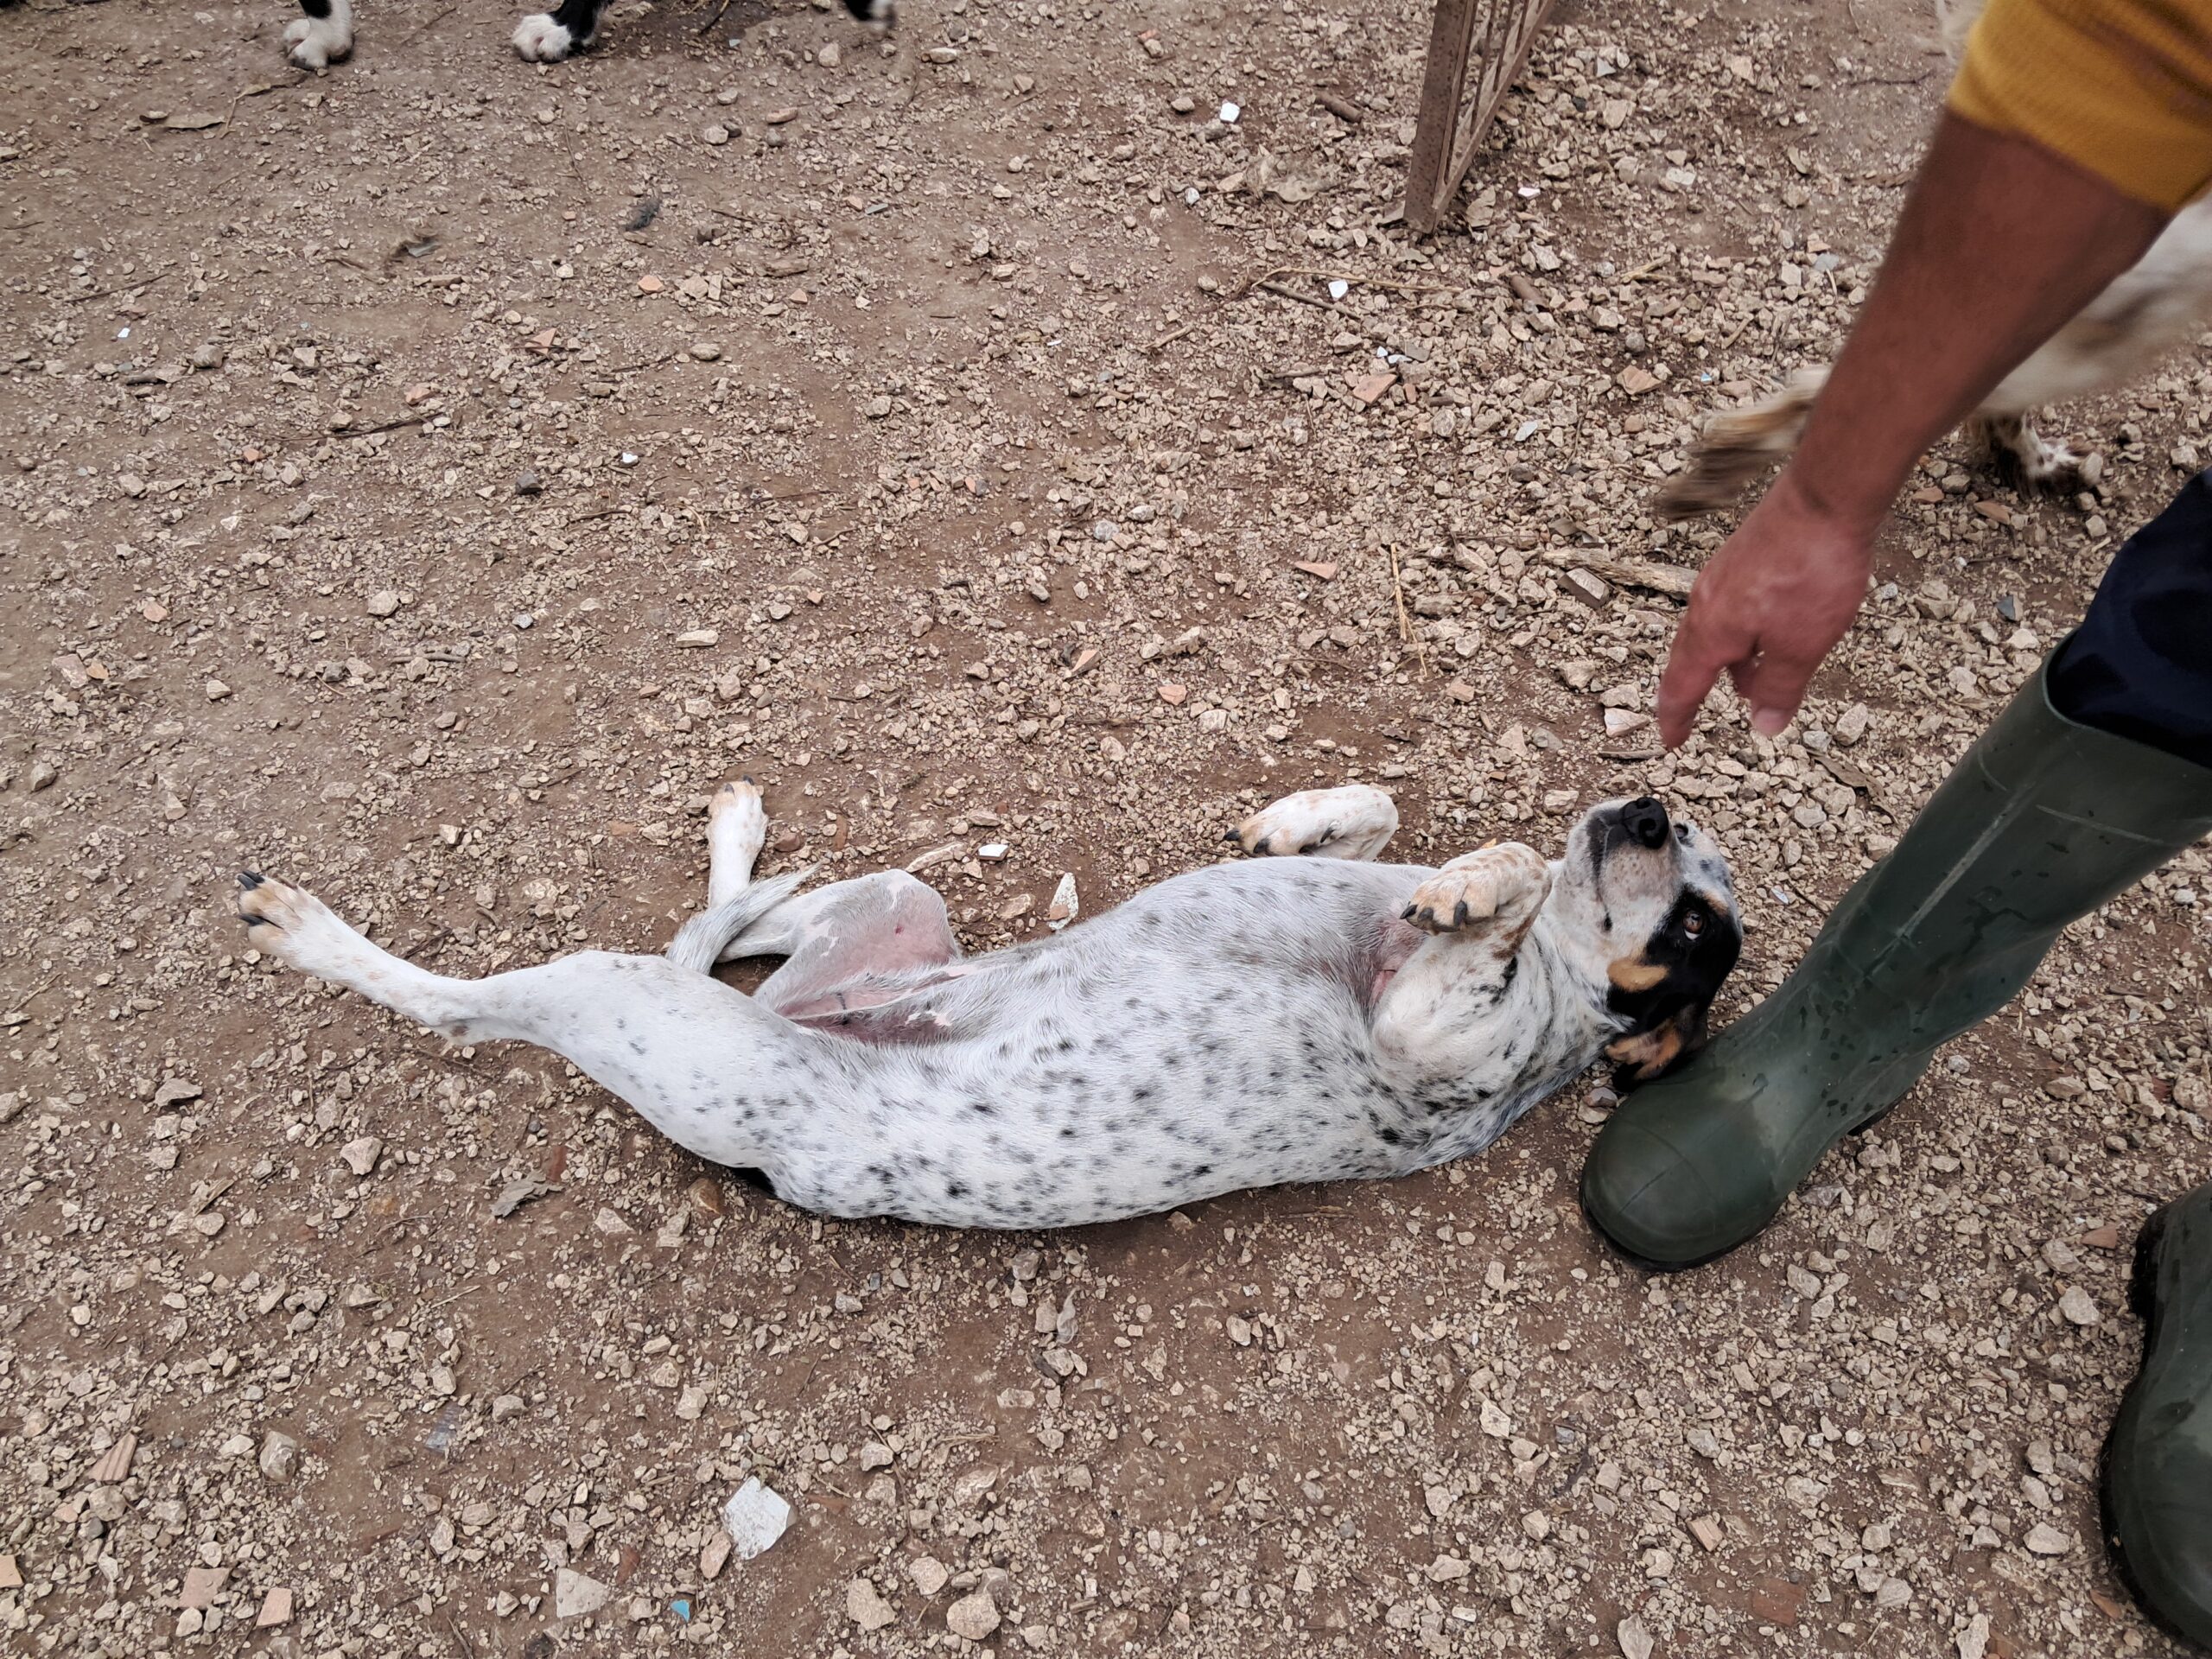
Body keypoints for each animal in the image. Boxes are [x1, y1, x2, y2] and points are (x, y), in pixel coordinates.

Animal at [235, 783, 1741, 1229]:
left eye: (1694, 929)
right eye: (1687, 854)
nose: (1645, 805)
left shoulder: (1438, 1042)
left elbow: (1495, 905)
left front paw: (1487, 885)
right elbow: (1381, 812)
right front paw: (1336, 831)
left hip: (631, 1011)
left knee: (467, 1005)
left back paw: (312, 932)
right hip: (887, 904)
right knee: (724, 924)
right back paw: (745, 840)